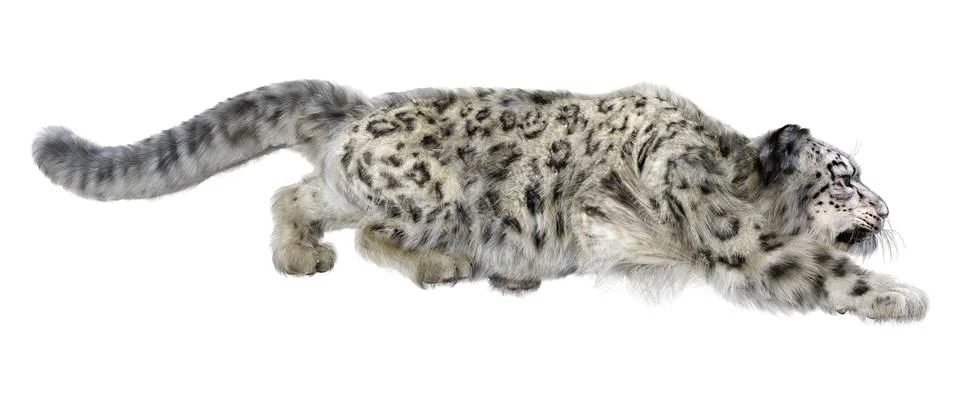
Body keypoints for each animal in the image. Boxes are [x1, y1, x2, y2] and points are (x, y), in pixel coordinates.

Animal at [32, 80, 928, 322]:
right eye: (842, 176)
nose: (887, 212)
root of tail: (361, 112)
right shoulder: (730, 233)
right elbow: (815, 268)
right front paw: (904, 297)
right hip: (429, 192)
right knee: (370, 231)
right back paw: (443, 267)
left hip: (349, 181)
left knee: (296, 189)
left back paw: (299, 256)